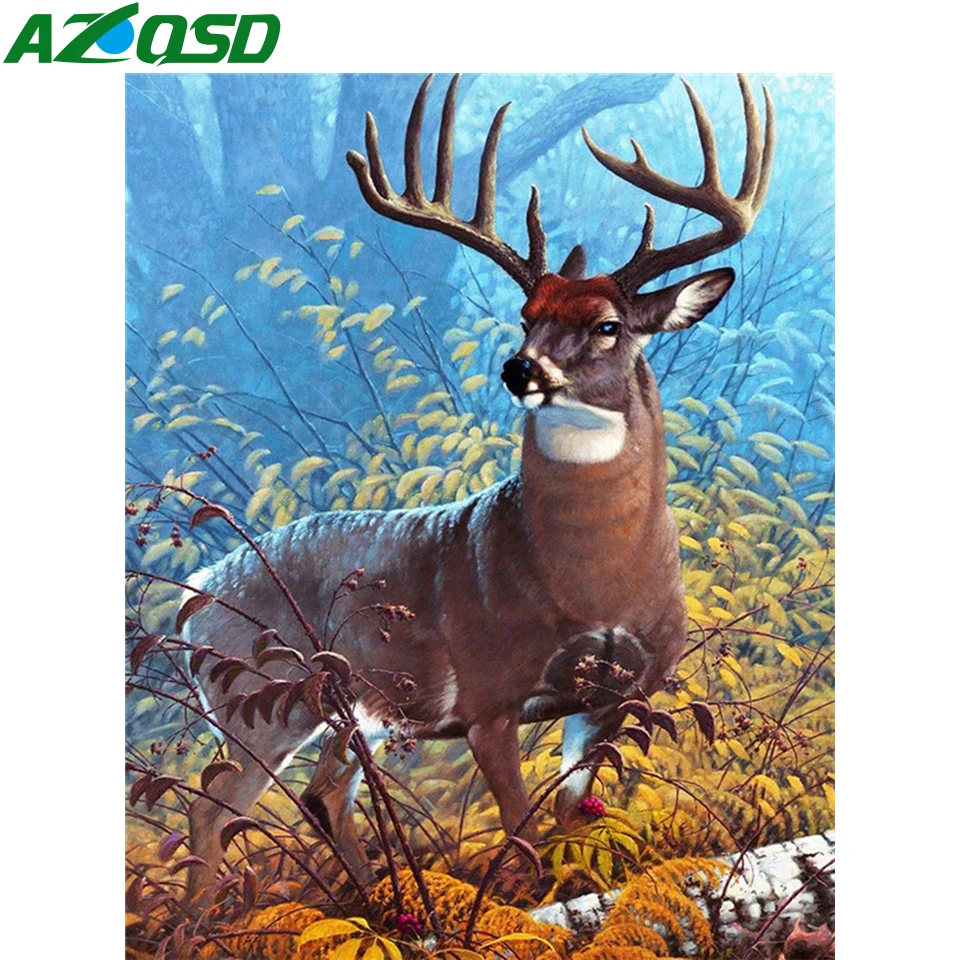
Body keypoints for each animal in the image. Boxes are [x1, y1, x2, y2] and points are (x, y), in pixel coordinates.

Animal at [181, 73, 775, 900]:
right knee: (213, 811)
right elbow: (523, 835)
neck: (596, 584)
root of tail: (194, 594)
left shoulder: (615, 697)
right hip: (256, 698)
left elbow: (572, 820)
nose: (520, 369)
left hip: (349, 707)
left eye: (609, 325)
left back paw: (382, 905)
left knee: (323, 795)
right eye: (526, 315)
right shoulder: (489, 698)